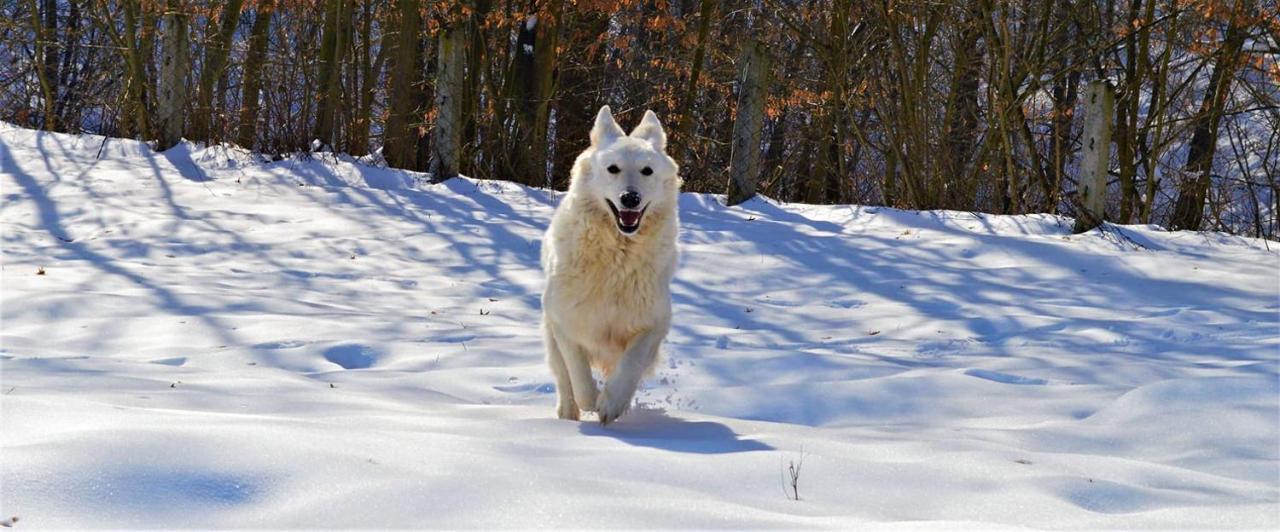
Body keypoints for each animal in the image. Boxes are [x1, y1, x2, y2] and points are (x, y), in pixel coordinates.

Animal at [537, 106, 680, 427]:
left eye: (647, 171)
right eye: (612, 169)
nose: (630, 198)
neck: (617, 254)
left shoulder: (652, 323)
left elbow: (631, 365)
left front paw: (612, 404)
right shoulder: (564, 320)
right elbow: (577, 372)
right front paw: (591, 400)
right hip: (550, 334)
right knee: (563, 380)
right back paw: (568, 414)